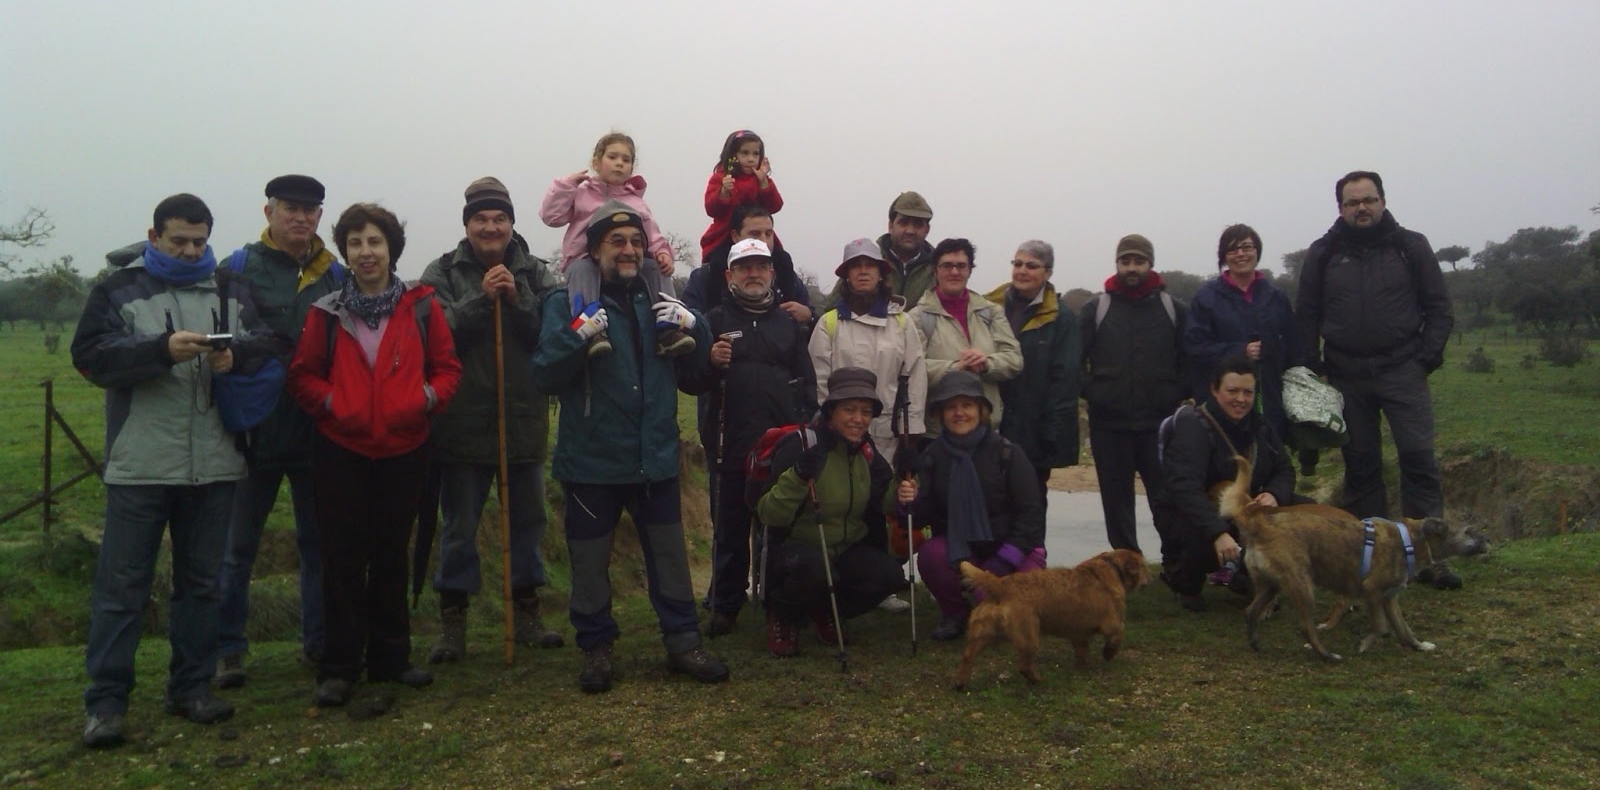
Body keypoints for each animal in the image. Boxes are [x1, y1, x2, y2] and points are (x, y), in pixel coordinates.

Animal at [947, 550, 1152, 690]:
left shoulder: (1079, 634)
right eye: (1143, 567)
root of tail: (1001, 584)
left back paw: (960, 682)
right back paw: (1038, 680)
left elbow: (1082, 651)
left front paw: (1083, 666)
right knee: (1024, 666)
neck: (1112, 566)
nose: (1148, 581)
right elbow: (1117, 635)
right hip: (1029, 637)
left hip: (983, 634)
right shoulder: (1112, 623)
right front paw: (1108, 653)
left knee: (967, 656)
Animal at [1222, 457, 1484, 658]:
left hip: (1272, 585)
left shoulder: (1389, 598)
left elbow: (1404, 629)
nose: (1487, 540)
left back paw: (1256, 641)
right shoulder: (1372, 591)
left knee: (1251, 611)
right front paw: (1365, 644)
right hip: (1302, 585)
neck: (1408, 540)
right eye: (1467, 531)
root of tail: (1261, 524)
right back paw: (1326, 654)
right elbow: (1381, 627)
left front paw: (1419, 646)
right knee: (1306, 627)